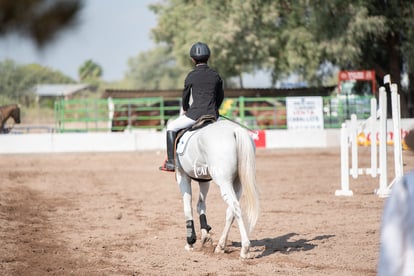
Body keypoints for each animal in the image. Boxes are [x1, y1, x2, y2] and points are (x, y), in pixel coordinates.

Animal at [174, 118, 258, 258]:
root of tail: (235, 130)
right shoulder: (203, 179)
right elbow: (200, 205)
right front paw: (205, 235)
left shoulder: (182, 176)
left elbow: (187, 207)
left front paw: (190, 241)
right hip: (237, 183)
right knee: (230, 211)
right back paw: (220, 246)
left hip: (224, 181)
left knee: (236, 207)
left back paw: (245, 249)